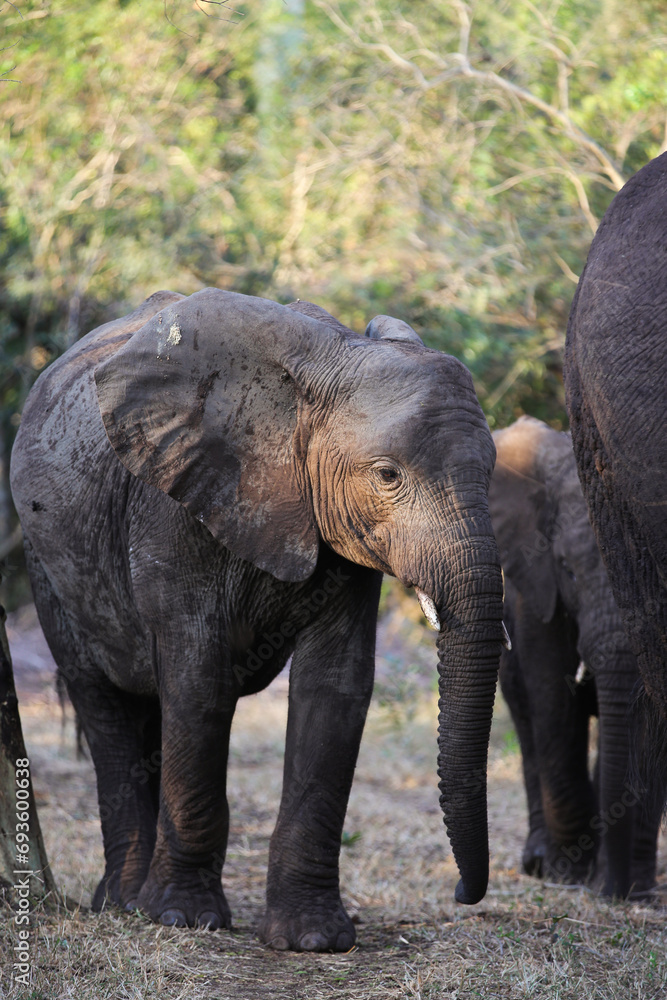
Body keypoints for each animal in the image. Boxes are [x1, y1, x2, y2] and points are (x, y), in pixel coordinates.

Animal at [10, 288, 507, 952]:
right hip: (48, 563)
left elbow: (335, 686)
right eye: (387, 475)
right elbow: (199, 682)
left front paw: (314, 939)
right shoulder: (173, 502)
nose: (460, 893)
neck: (327, 359)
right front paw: (183, 918)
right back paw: (123, 903)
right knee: (105, 703)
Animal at [489, 416, 661, 898]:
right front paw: (569, 874)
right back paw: (539, 863)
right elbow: (553, 696)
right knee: (527, 721)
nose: (614, 892)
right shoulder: (537, 586)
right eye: (568, 569)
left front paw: (632, 883)